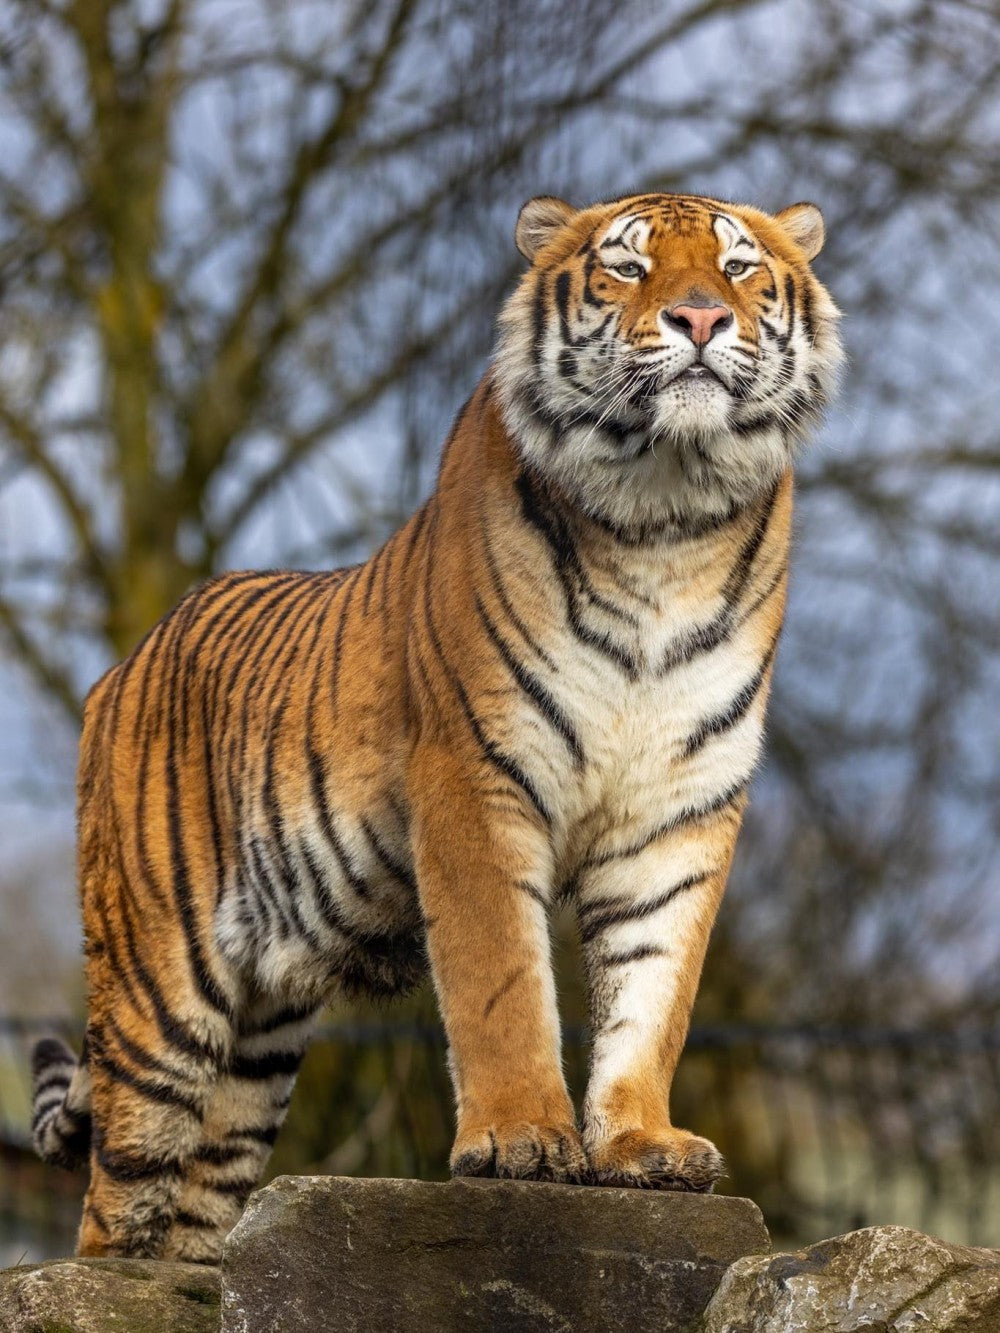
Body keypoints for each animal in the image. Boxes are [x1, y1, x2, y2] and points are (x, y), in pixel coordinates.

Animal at [31, 189, 842, 1262]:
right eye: (628, 269)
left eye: (740, 268)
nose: (701, 318)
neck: (663, 521)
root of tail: (124, 662)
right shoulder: (476, 774)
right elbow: (501, 979)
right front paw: (521, 1141)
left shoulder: (680, 808)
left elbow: (655, 988)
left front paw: (641, 1142)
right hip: (157, 990)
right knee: (113, 1203)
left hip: (259, 1043)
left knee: (202, 1211)